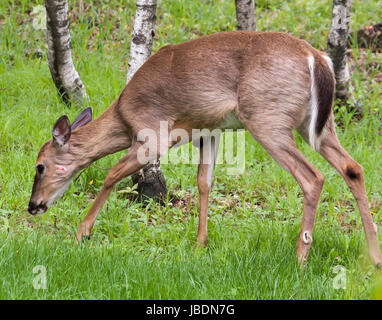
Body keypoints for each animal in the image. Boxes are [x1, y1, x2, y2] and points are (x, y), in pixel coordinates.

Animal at [29, 31, 382, 266]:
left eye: (40, 166)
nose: (33, 206)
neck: (123, 116)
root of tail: (317, 59)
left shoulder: (154, 133)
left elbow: (112, 174)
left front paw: (82, 233)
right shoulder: (210, 130)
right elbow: (204, 182)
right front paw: (200, 245)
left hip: (268, 119)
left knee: (312, 177)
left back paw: (300, 258)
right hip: (318, 125)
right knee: (353, 168)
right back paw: (373, 256)